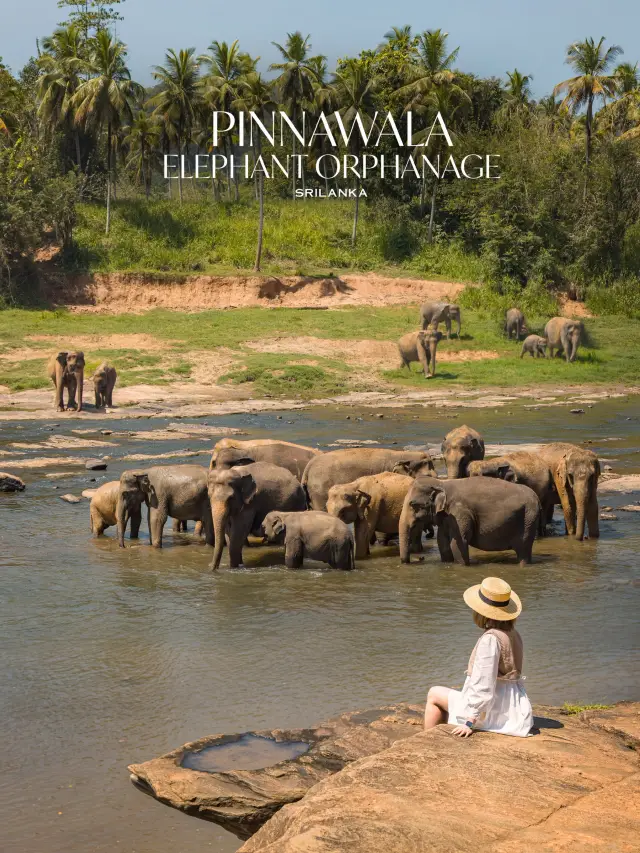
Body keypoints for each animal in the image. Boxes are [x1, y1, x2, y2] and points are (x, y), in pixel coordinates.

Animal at [399, 476, 540, 567]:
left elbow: (458, 543)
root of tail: (537, 498)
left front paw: (463, 565)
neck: (441, 483)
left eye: (412, 504)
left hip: (528, 518)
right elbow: (442, 542)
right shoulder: (446, 517)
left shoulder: (459, 513)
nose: (420, 558)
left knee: (523, 550)